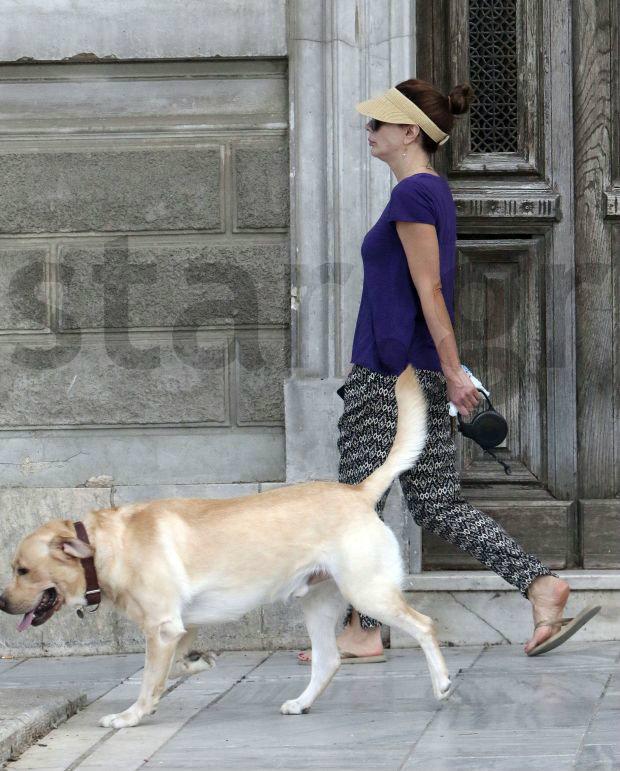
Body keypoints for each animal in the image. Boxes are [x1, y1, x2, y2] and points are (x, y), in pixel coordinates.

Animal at [0, 364, 450, 728]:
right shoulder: (182, 626)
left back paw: (443, 683)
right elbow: (170, 670)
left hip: (368, 592)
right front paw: (196, 663)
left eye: (22, 570)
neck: (107, 546)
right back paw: (301, 703)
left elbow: (148, 680)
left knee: (425, 625)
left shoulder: (162, 628)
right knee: (328, 660)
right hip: (318, 603)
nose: (1, 603)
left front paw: (130, 716)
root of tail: (358, 492)